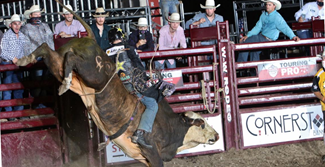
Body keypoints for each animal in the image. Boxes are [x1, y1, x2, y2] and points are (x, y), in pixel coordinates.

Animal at [15, 0, 218, 166]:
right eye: (201, 123)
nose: (216, 135)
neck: (172, 126)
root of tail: (90, 38)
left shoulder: (143, 158)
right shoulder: (153, 152)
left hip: (61, 66)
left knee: (46, 49)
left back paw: (28, 61)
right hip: (91, 73)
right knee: (72, 57)